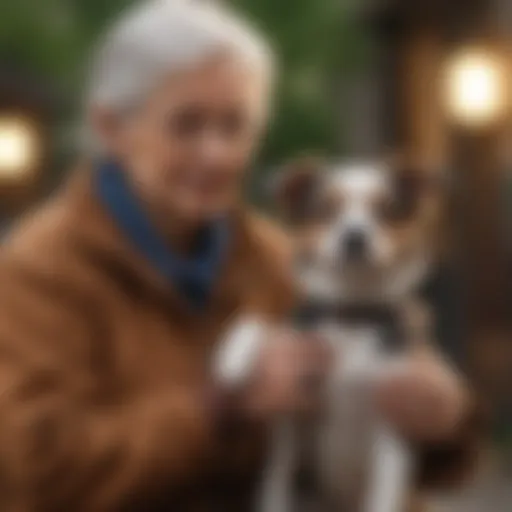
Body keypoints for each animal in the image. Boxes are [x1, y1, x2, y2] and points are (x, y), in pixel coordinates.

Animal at [214, 157, 442, 512]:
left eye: (387, 210)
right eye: (326, 209)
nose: (354, 237)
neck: (350, 317)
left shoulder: (392, 434)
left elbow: (383, 494)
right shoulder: (291, 417)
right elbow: (262, 324)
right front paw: (231, 360)